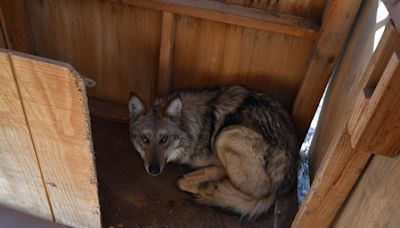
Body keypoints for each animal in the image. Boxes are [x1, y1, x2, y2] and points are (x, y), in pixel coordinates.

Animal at [128, 86, 296, 219]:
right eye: (144, 139)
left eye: (164, 139)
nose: (154, 170)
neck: (192, 126)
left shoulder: (217, 160)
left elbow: (182, 181)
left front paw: (202, 182)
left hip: (225, 137)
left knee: (252, 192)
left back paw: (209, 189)